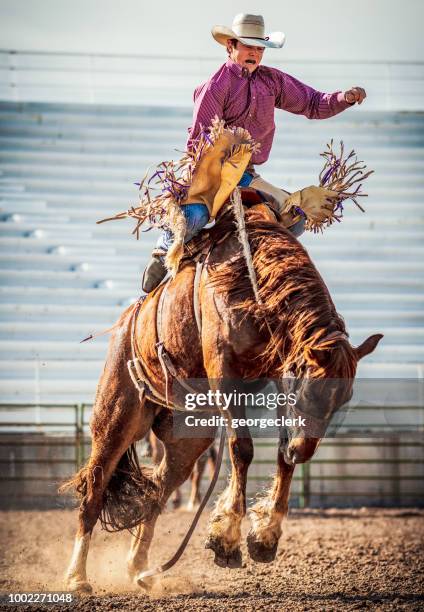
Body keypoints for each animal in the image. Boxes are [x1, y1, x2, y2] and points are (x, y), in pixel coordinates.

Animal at [62, 206, 380, 592]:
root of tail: (126, 322)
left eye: (343, 397)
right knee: (94, 488)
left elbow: (280, 455)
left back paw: (140, 568)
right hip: (117, 417)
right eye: (308, 390)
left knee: (158, 488)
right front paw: (227, 538)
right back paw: (77, 576)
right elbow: (242, 448)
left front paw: (264, 536)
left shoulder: (278, 376)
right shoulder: (223, 372)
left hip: (189, 437)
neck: (251, 284)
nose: (303, 451)